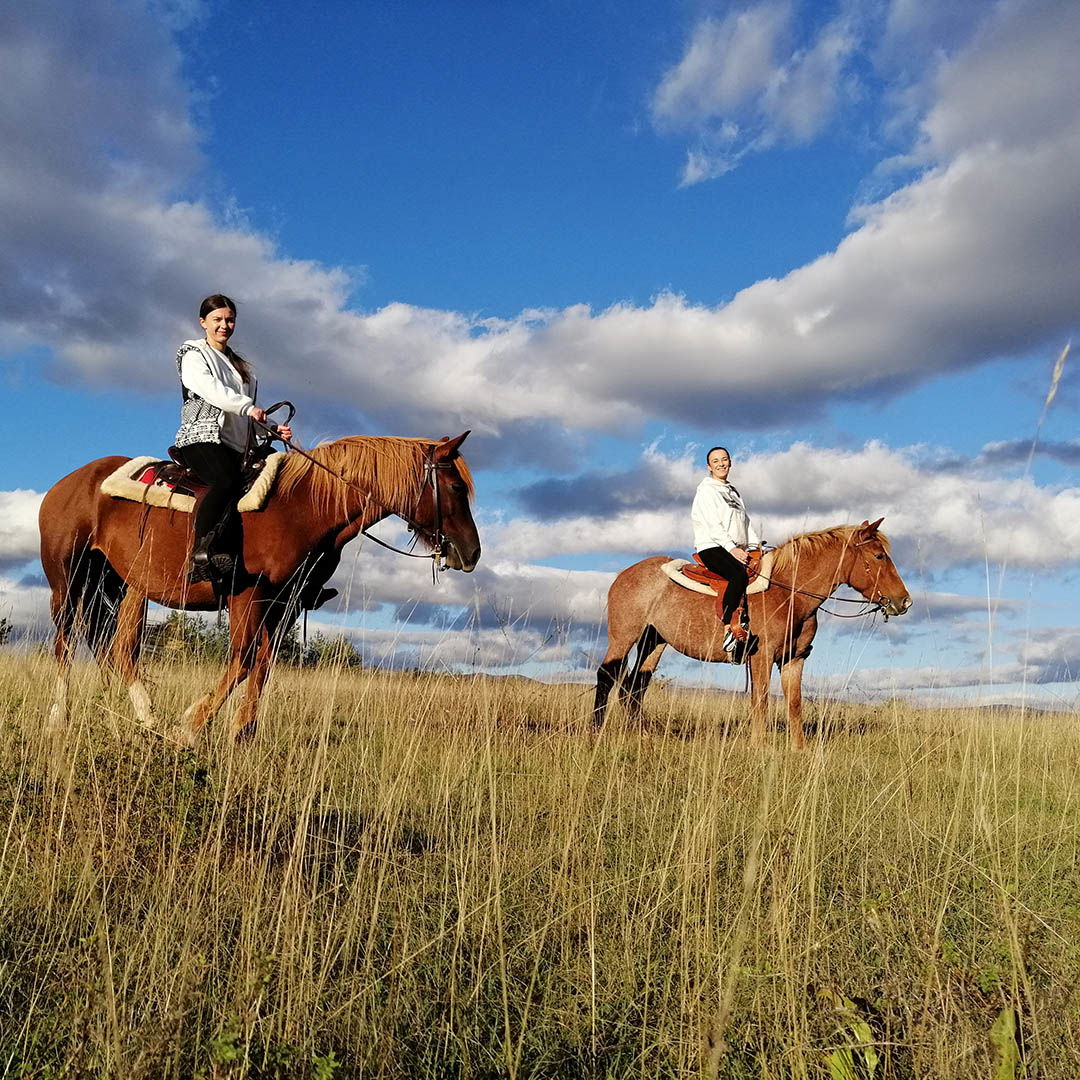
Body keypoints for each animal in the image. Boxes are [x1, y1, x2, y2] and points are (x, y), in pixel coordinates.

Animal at [39, 432, 480, 747]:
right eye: (456, 488)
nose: (472, 552)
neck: (302, 506)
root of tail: (67, 483)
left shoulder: (282, 603)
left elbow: (263, 664)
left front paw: (243, 734)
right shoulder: (246, 594)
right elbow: (245, 659)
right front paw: (192, 727)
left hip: (123, 585)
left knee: (117, 650)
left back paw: (142, 718)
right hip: (67, 580)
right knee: (65, 643)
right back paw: (59, 718)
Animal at [592, 520, 911, 748]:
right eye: (879, 556)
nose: (905, 601)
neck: (789, 594)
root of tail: (623, 575)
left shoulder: (794, 659)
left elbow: (794, 704)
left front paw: (799, 750)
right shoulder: (761, 656)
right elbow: (761, 701)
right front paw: (759, 747)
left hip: (654, 641)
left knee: (635, 685)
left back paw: (641, 734)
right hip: (624, 636)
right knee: (607, 675)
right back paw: (596, 730)